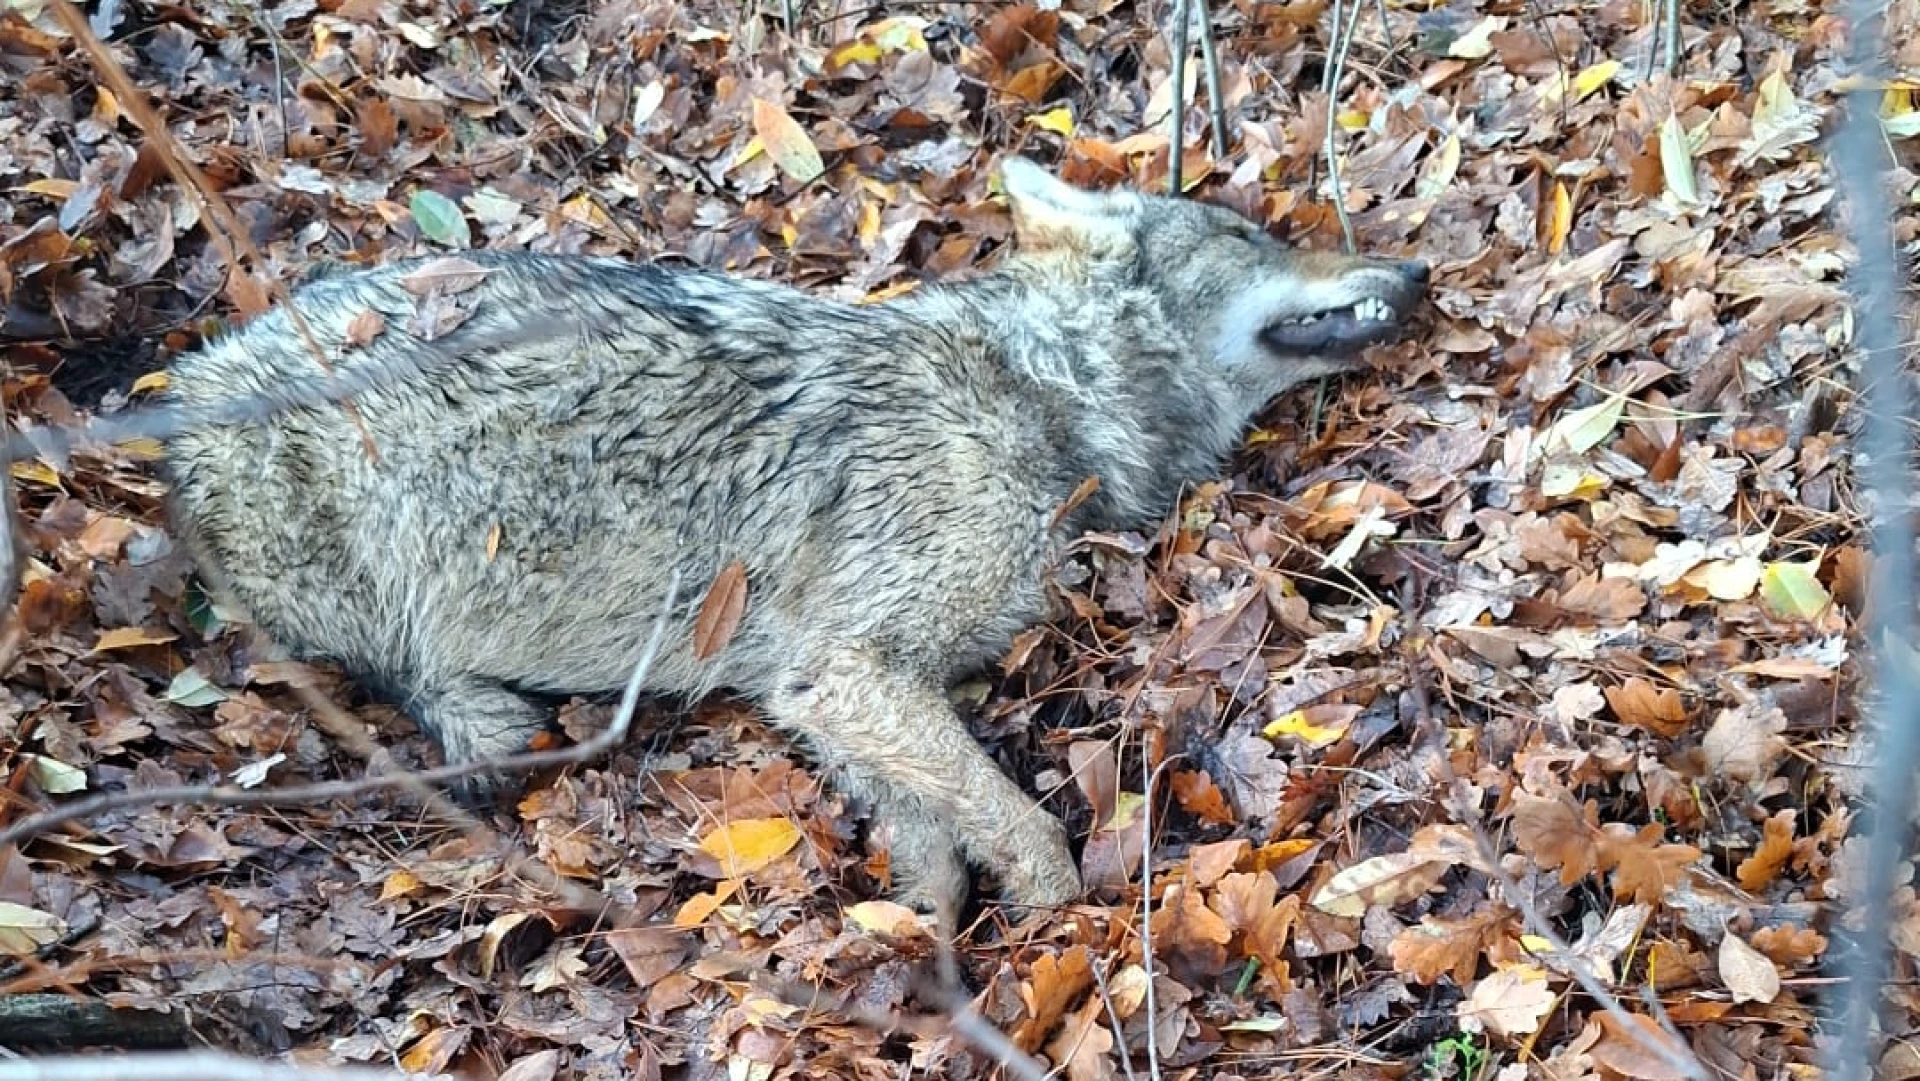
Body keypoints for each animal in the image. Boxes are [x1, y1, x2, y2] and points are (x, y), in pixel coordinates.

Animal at [158, 159, 1427, 917]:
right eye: (1250, 237)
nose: (1416, 268)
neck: (1041, 390)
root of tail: (179, 396)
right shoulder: (853, 667)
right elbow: (1015, 817)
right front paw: (1047, 908)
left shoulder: (824, 684)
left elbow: (929, 826)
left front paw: (924, 934)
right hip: (365, 558)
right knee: (388, 668)